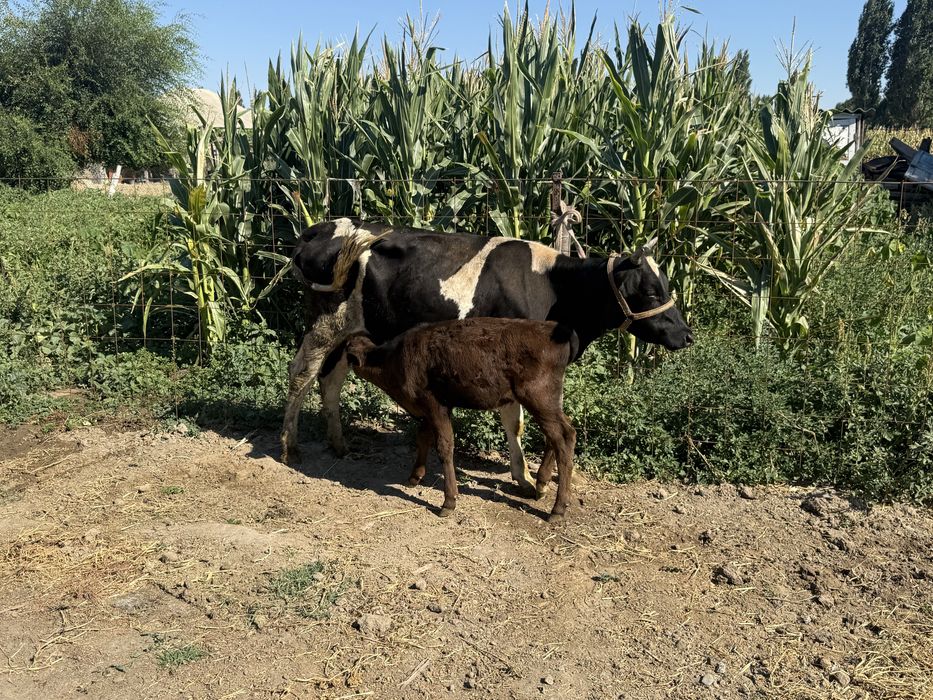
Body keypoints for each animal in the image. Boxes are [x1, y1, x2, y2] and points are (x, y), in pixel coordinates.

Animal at [280, 217, 693, 497]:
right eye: (652, 292)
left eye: (665, 285)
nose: (687, 335)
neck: (555, 288)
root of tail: (316, 230)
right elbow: (516, 420)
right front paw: (526, 478)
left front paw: (532, 476)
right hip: (326, 322)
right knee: (302, 373)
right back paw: (289, 447)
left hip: (350, 329)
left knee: (331, 379)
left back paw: (338, 444)